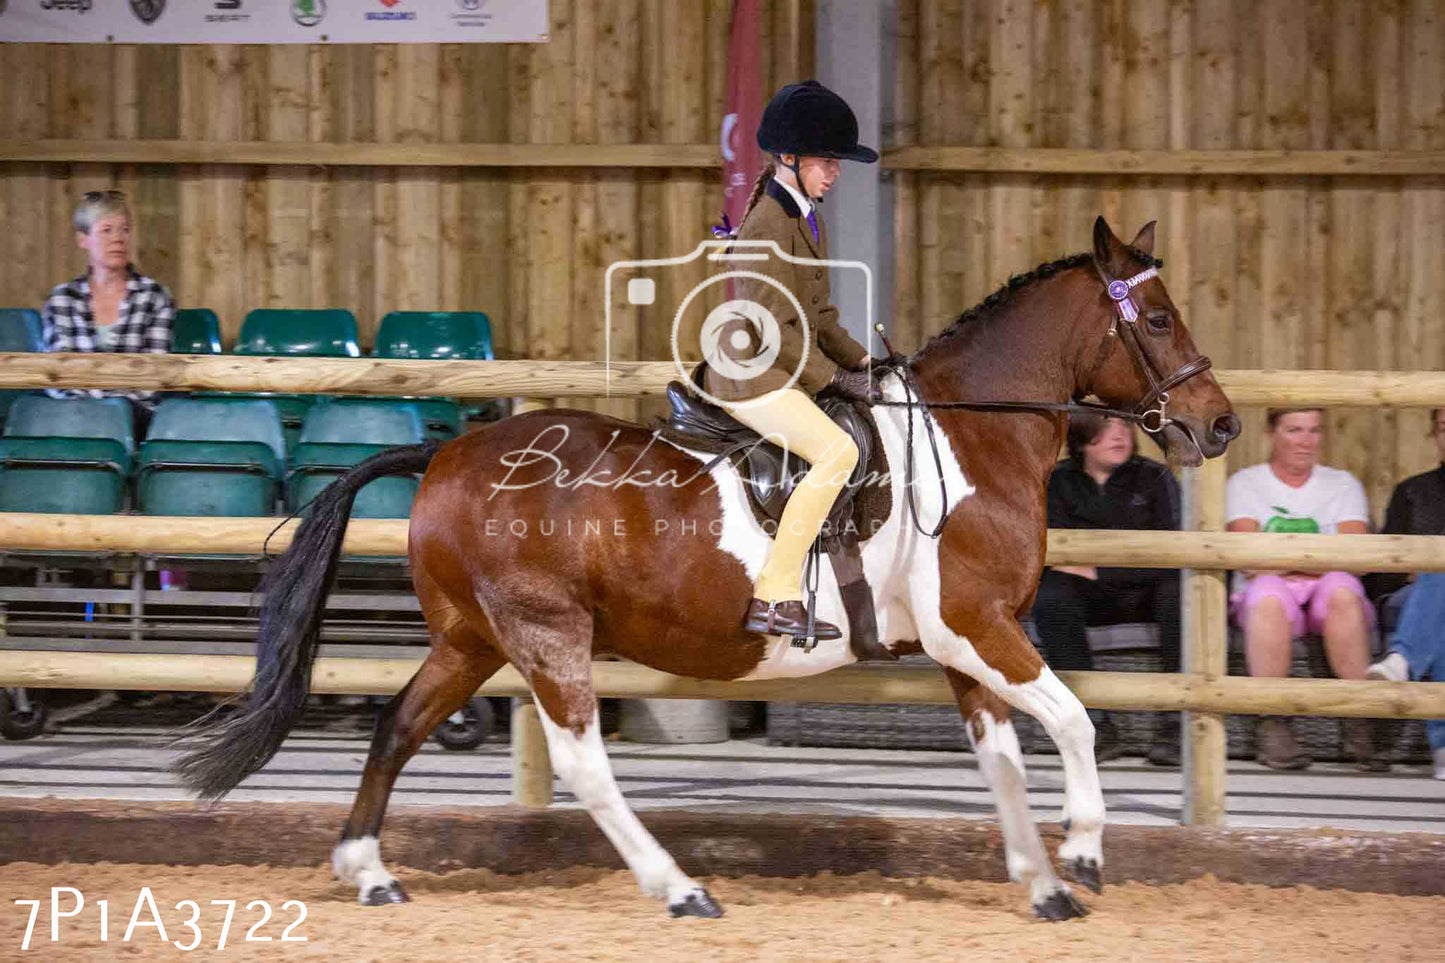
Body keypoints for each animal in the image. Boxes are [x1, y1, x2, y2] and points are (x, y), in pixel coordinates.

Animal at [174, 216, 1242, 913]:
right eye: (1155, 321)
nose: (1219, 424)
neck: (969, 436)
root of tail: (444, 453)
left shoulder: (966, 644)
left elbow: (1006, 757)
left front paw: (1042, 882)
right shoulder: (977, 625)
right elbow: (1072, 721)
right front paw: (1086, 853)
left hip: (472, 638)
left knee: (398, 723)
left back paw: (369, 869)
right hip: (544, 630)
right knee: (580, 758)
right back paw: (679, 887)